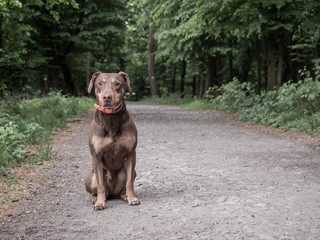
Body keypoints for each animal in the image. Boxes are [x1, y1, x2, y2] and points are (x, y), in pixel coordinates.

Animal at [85, 71, 140, 210]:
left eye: (117, 83)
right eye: (100, 83)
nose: (107, 97)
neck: (111, 119)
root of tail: (112, 193)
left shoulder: (131, 154)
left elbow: (129, 182)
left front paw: (132, 198)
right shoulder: (97, 156)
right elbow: (100, 185)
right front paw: (100, 202)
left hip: (130, 172)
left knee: (124, 186)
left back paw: (125, 195)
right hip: (91, 177)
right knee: (95, 190)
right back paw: (95, 198)